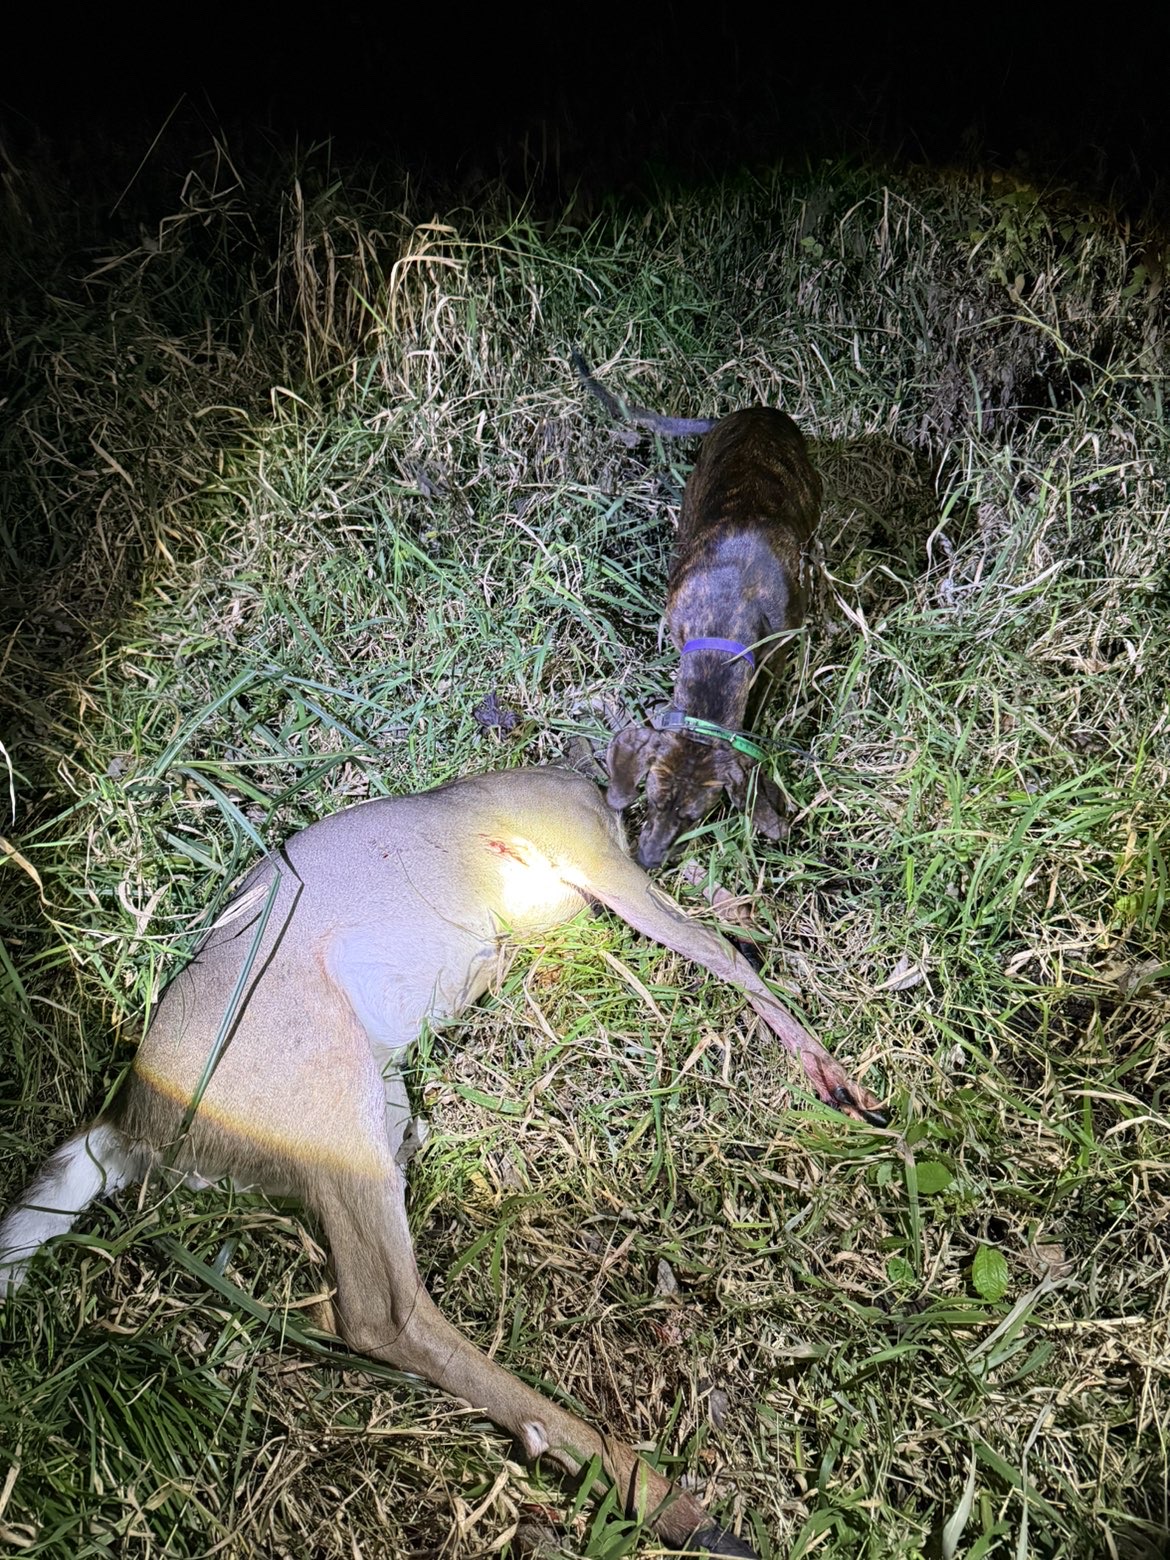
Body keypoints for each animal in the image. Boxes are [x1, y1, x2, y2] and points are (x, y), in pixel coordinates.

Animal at [1, 765, 886, 1556]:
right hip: (328, 1095)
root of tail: (127, 1122)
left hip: (377, 1105)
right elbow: (719, 950)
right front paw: (836, 1078)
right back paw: (664, 1500)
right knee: (379, 1311)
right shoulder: (592, 854)